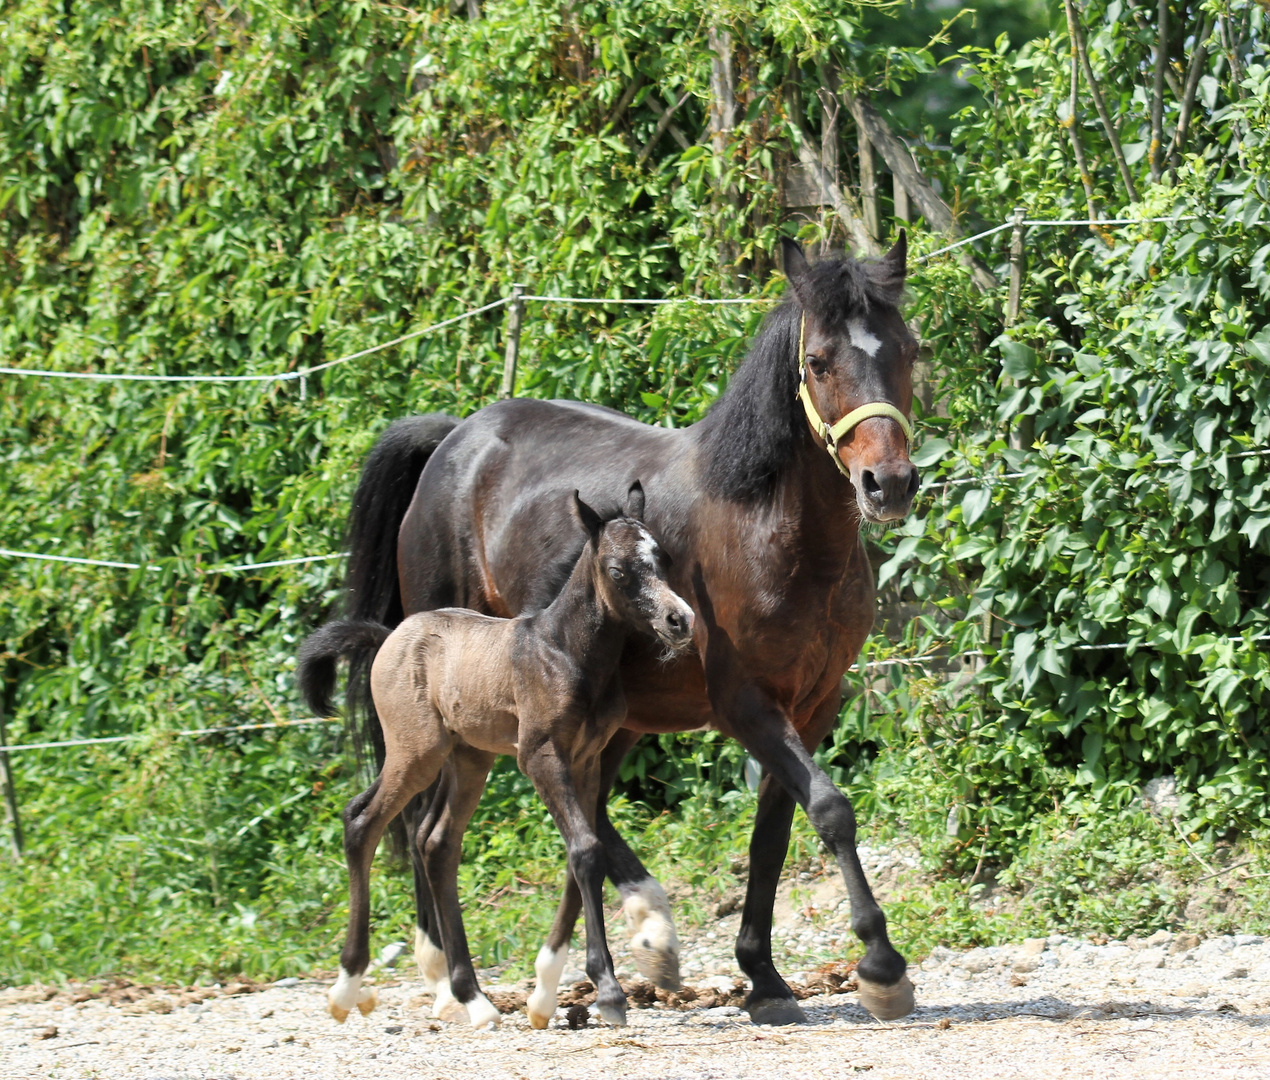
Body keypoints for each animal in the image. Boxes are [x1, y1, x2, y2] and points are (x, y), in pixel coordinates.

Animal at [332, 233, 919, 1016]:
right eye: (820, 360)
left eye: (907, 350)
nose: (888, 484)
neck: (767, 530)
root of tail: (454, 440)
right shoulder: (744, 703)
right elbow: (828, 808)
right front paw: (882, 967)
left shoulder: (813, 703)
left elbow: (772, 835)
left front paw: (763, 978)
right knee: (433, 815)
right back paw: (462, 975)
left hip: (603, 714)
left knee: (557, 812)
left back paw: (583, 961)